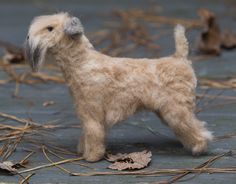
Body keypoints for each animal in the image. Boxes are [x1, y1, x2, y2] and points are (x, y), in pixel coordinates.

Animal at [24, 12, 213, 161]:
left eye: (49, 28)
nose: (27, 38)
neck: (82, 63)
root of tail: (180, 59)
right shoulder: (85, 111)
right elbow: (86, 134)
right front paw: (82, 150)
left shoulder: (92, 114)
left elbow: (94, 134)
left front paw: (92, 156)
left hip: (176, 110)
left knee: (196, 128)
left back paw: (198, 147)